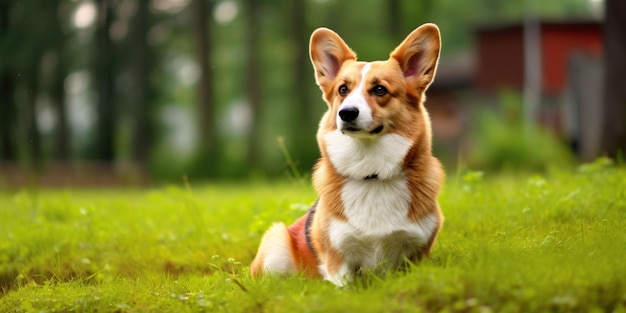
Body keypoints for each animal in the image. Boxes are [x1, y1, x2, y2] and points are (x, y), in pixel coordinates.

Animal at [249, 23, 444, 286]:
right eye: (343, 89)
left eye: (380, 89)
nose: (347, 113)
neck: (372, 175)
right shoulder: (338, 259)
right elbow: (344, 285)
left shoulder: (417, 252)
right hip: (276, 243)